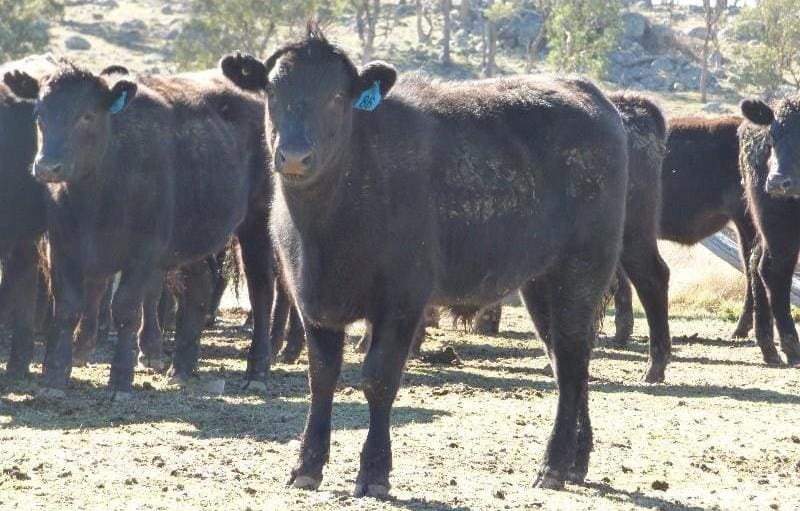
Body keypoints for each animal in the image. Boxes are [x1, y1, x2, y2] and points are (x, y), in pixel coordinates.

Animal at [222, 25, 628, 496]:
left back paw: (553, 466)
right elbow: (321, 377)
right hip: (541, 282)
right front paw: (306, 466)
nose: (293, 156)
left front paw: (374, 472)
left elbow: (378, 378)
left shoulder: (403, 298)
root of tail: (591, 94)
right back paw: (576, 461)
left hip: (582, 269)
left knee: (573, 357)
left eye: (337, 95)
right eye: (272, 90)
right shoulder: (313, 300)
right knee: (566, 363)